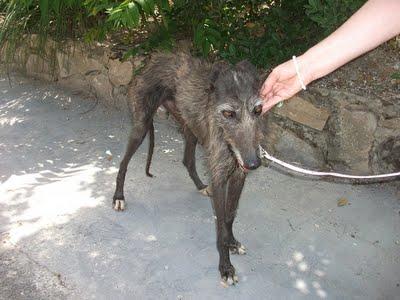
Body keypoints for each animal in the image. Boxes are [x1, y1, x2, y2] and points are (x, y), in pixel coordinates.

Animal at [112, 52, 262, 286]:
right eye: (228, 113)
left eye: (258, 110)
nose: (254, 163)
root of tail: (152, 60)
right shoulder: (220, 177)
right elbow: (220, 226)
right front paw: (225, 267)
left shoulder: (238, 175)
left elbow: (230, 216)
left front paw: (232, 243)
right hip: (141, 126)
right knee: (123, 162)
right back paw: (119, 196)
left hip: (190, 127)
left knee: (187, 160)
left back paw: (200, 185)